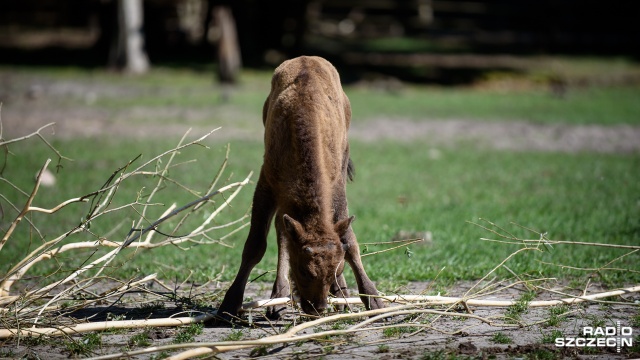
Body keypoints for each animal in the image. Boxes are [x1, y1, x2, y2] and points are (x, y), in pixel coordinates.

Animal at [218, 54, 382, 320]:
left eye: (335, 268)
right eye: (304, 271)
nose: (318, 307)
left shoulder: (336, 185)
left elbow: (349, 240)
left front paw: (372, 299)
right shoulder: (267, 182)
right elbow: (255, 245)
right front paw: (229, 304)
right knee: (280, 229)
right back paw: (278, 298)